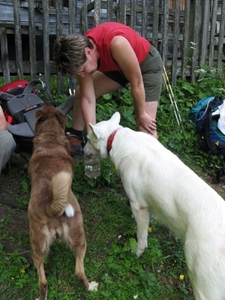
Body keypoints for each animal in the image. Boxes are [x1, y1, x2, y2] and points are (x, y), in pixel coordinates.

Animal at [27, 105, 98, 298]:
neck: (50, 138)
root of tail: (50, 207)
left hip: (38, 246)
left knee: (43, 281)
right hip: (80, 237)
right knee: (79, 271)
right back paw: (91, 287)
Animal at [83, 112, 225, 300]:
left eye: (87, 139)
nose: (81, 151)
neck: (117, 137)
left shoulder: (139, 206)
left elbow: (141, 239)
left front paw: (137, 253)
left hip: (203, 286)